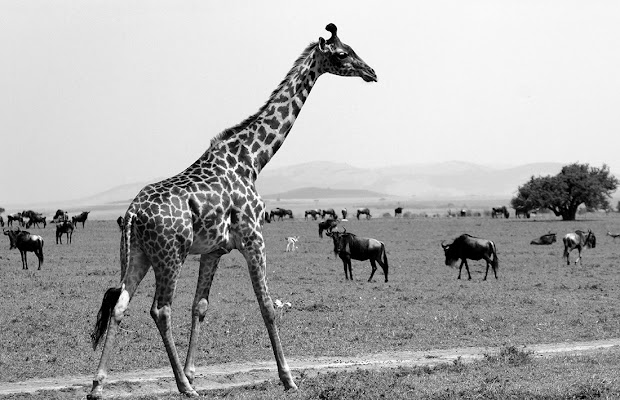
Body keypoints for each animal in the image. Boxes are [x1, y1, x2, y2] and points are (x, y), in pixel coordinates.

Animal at [88, 23, 378, 398]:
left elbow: (200, 307)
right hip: (170, 255)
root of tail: (134, 212)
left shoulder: (214, 250)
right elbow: (267, 306)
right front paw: (288, 378)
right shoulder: (254, 239)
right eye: (342, 54)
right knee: (160, 309)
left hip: (139, 254)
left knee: (120, 305)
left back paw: (99, 385)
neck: (253, 159)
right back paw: (183, 387)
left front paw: (193, 372)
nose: (371, 72)